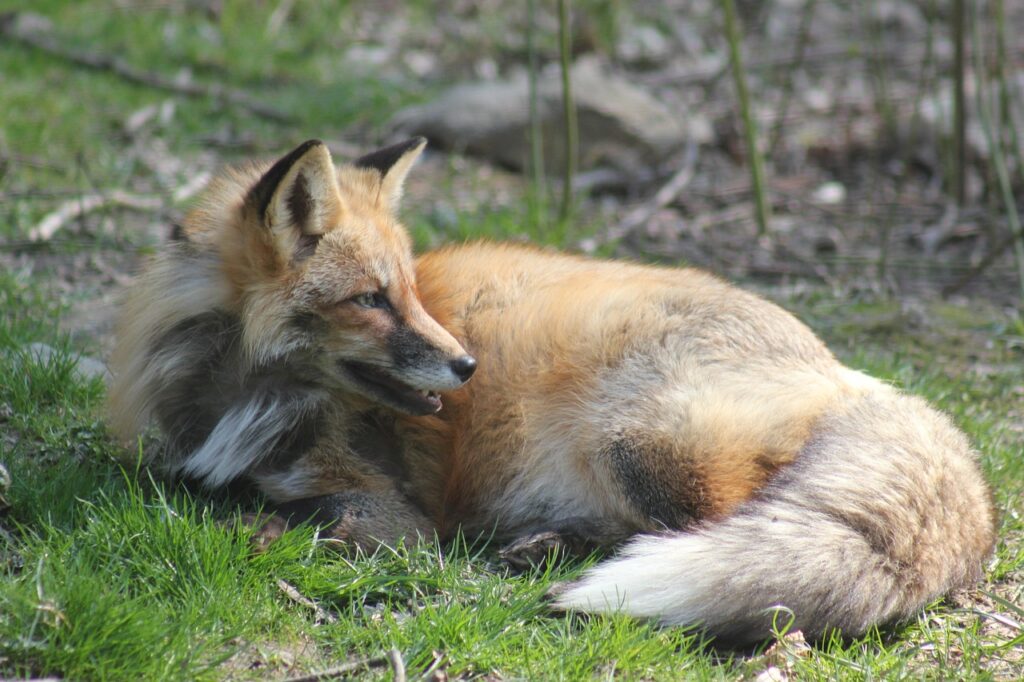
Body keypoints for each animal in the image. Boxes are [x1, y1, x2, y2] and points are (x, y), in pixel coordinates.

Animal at [108, 138, 996, 646]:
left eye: (412, 293)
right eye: (372, 299)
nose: (466, 366)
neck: (241, 396)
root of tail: (853, 375)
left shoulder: (391, 510)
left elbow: (285, 519)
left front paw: (256, 529)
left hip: (633, 443)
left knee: (705, 526)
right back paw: (545, 548)